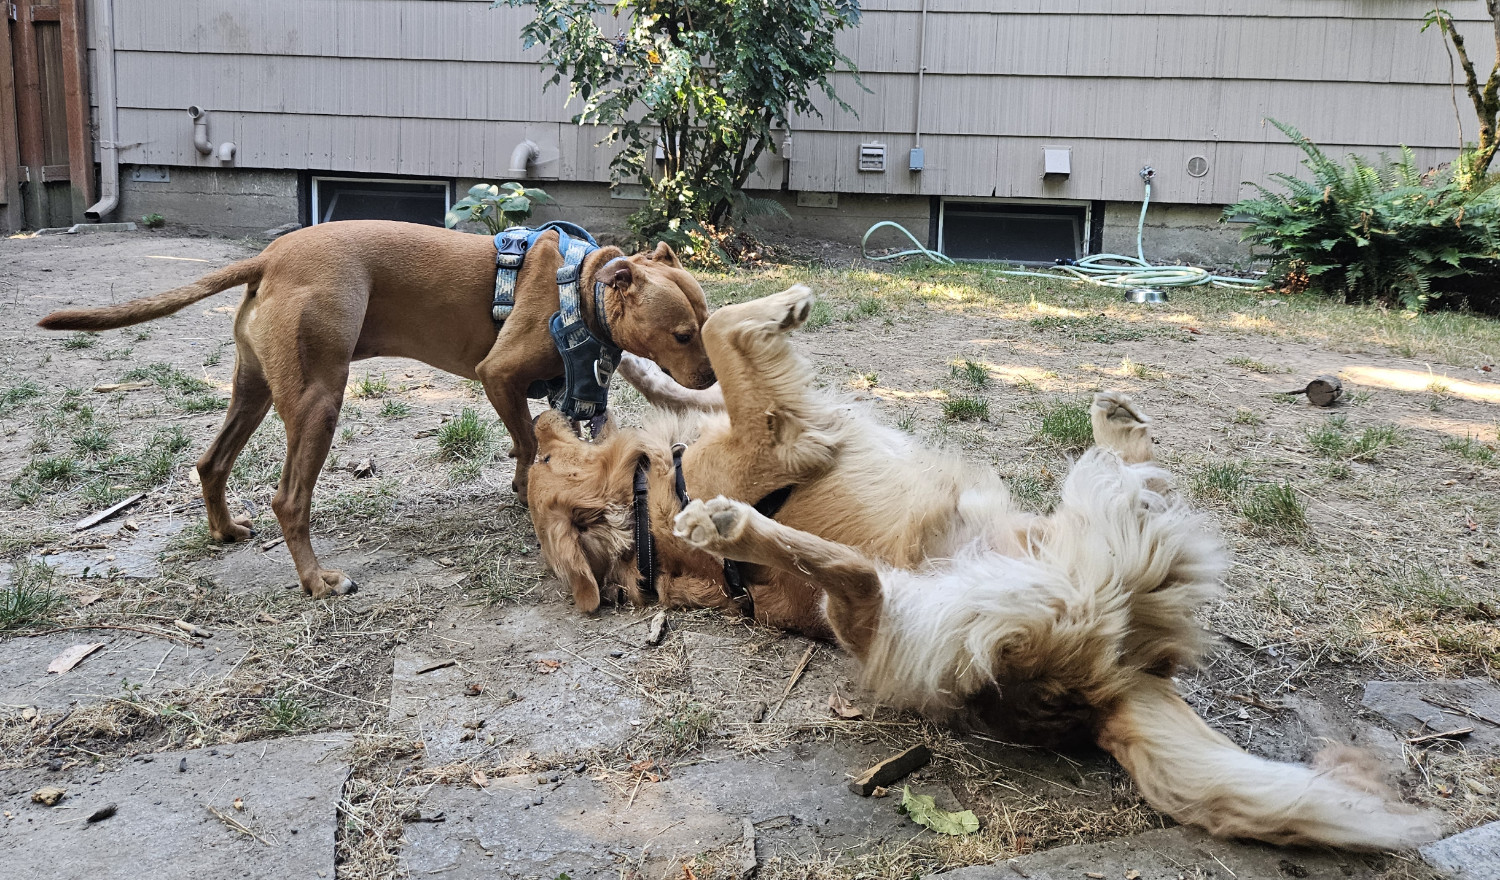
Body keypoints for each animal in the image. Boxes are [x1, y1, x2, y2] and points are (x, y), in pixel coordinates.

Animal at [35, 218, 714, 599]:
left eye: (706, 323)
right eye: (683, 334)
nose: (711, 376)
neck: (584, 288)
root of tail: (271, 257)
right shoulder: (498, 376)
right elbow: (526, 443)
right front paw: (525, 487)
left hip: (255, 392)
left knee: (211, 462)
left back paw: (225, 530)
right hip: (318, 402)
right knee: (289, 499)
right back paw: (317, 582)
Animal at [522, 286, 1434, 851]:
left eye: (544, 454)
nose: (536, 415)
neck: (652, 499)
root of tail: (1104, 688)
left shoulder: (755, 422)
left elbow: (697, 376)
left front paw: (637, 366)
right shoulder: (779, 435)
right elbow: (723, 335)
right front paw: (782, 307)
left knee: (1122, 482)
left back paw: (1118, 419)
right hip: (935, 618)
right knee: (858, 582)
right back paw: (729, 526)